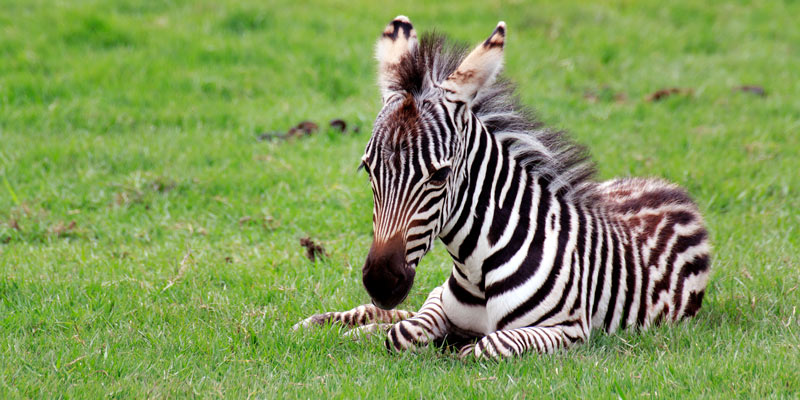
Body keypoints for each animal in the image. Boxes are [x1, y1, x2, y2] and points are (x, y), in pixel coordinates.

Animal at [294, 16, 712, 360]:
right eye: (368, 170)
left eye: (439, 176)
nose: (381, 282)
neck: (475, 264)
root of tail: (668, 187)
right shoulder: (439, 303)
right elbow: (404, 331)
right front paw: (384, 327)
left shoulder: (568, 330)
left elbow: (487, 345)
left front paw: (456, 344)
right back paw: (330, 321)